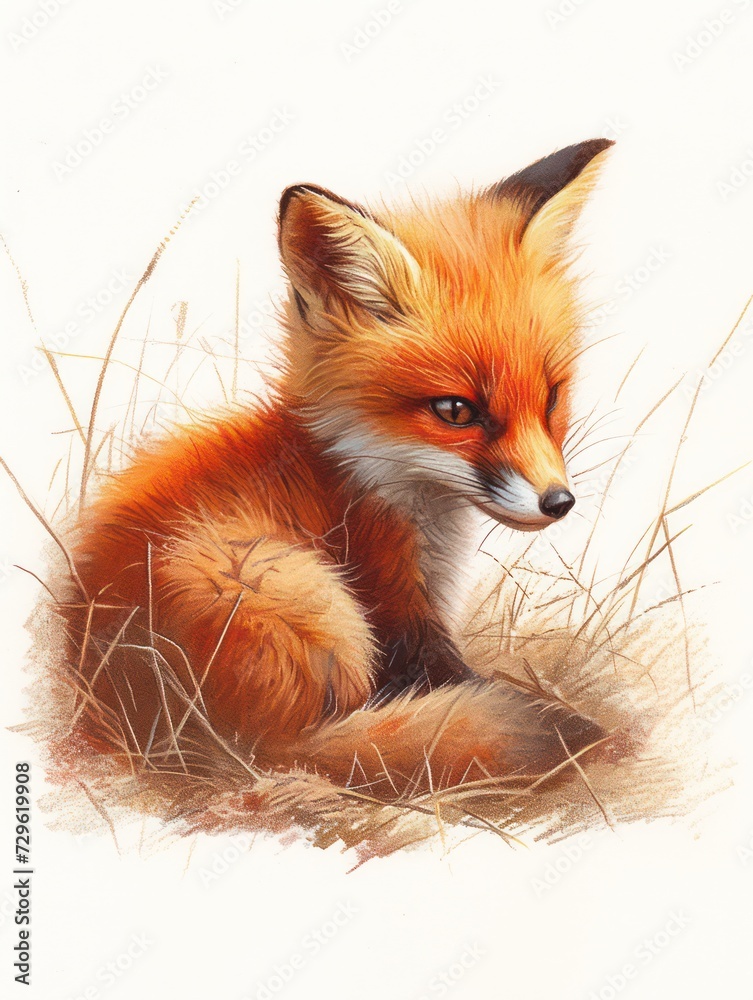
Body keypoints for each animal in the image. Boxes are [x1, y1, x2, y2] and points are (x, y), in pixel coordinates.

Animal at [62, 138, 618, 799]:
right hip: (303, 594)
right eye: (456, 410)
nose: (558, 502)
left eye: (552, 397)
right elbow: (454, 679)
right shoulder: (395, 607)